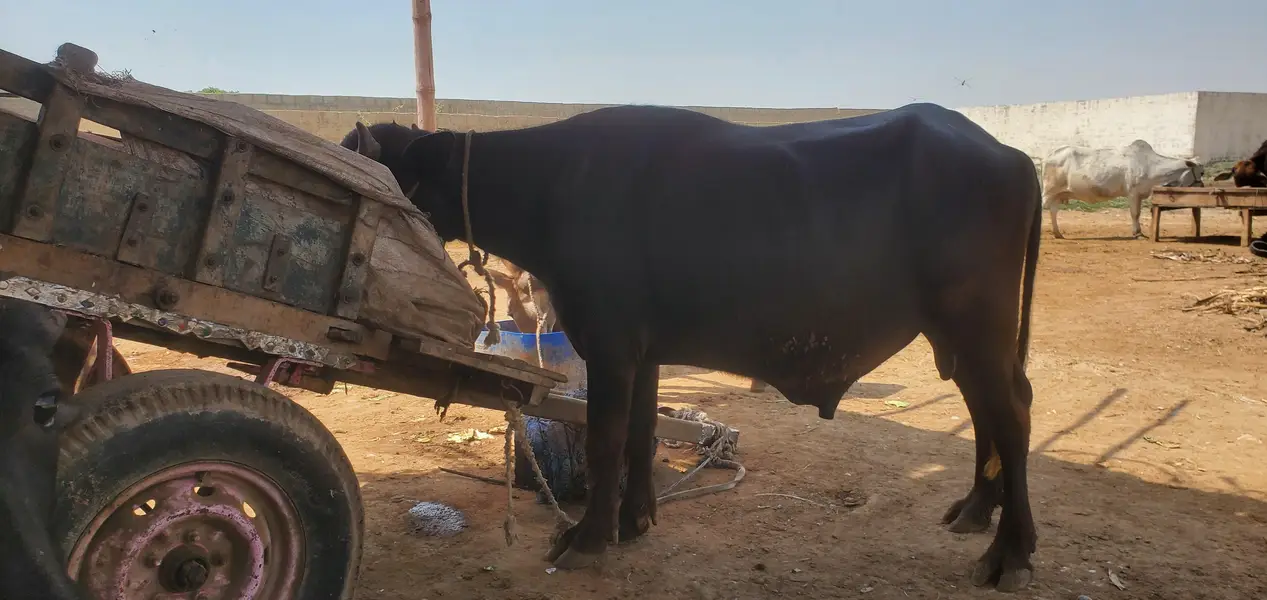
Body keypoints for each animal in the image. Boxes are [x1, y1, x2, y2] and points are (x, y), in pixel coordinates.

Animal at [340, 103, 1043, 592]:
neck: (554, 186)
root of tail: (1008, 154)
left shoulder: (611, 342)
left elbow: (606, 439)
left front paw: (586, 539)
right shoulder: (645, 348)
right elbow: (640, 433)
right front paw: (633, 521)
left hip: (977, 324)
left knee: (1011, 413)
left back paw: (1010, 552)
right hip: (958, 336)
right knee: (986, 409)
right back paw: (975, 510)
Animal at [1040, 139, 1205, 239]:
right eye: (1201, 172)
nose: (1203, 187)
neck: (1151, 165)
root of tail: (1050, 155)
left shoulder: (1140, 195)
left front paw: (1139, 232)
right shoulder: (1133, 193)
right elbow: (1135, 214)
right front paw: (1137, 233)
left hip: (1058, 194)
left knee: (1053, 210)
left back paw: (1058, 233)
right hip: (1049, 191)